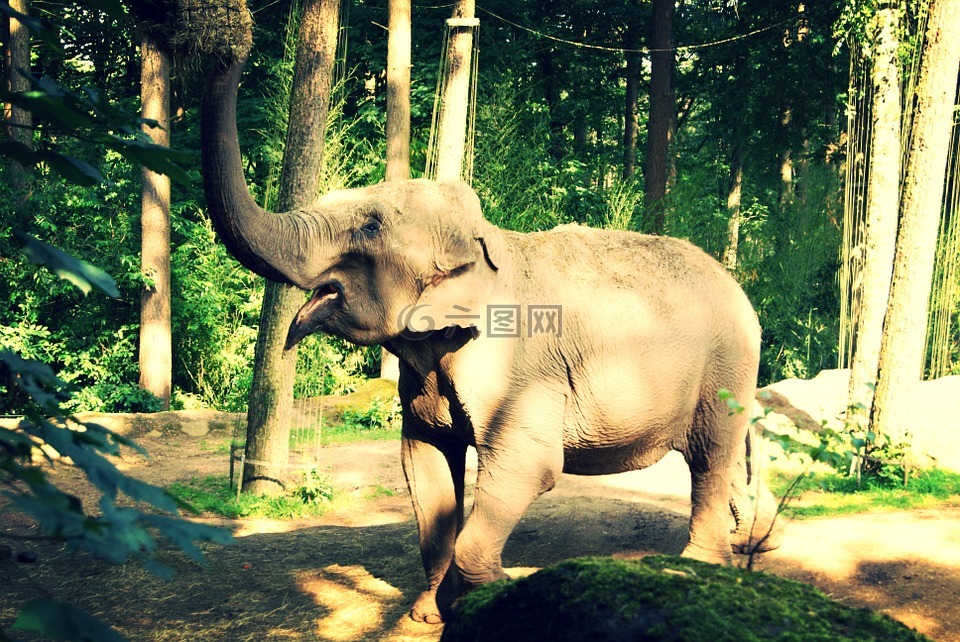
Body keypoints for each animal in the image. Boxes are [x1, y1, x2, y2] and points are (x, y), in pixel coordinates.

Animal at [201, 53, 782, 624]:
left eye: (369, 228)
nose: (227, 46)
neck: (485, 242)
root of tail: (740, 287)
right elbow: (426, 463)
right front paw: (428, 614)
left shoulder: (517, 367)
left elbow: (528, 464)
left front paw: (496, 594)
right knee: (722, 458)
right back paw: (755, 542)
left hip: (726, 362)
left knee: (710, 454)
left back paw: (701, 566)